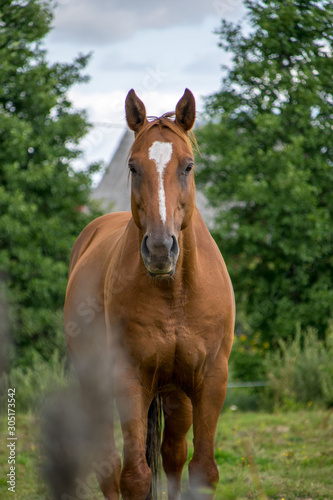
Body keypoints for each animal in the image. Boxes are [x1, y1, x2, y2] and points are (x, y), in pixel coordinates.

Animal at [63, 90, 235, 500]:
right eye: (133, 167)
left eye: (188, 166)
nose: (159, 249)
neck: (175, 293)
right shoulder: (129, 378)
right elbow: (135, 477)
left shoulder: (210, 379)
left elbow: (201, 469)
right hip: (96, 385)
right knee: (109, 466)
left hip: (176, 394)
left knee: (172, 455)